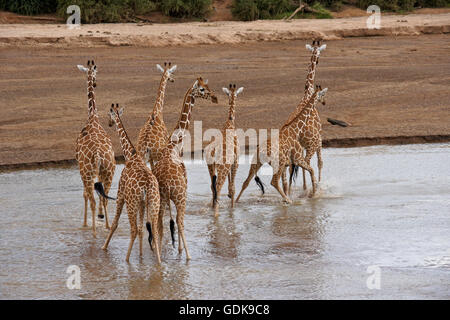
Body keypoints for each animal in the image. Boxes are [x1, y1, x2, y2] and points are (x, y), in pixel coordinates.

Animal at [99, 104, 163, 264]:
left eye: (109, 114)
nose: (109, 123)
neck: (130, 156)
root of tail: (147, 186)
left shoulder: (120, 194)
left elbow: (115, 224)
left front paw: (104, 247)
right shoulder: (142, 203)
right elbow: (142, 229)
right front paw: (140, 255)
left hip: (131, 203)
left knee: (133, 229)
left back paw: (127, 259)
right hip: (154, 202)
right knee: (154, 229)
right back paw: (159, 262)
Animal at [153, 77, 218, 260]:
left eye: (208, 86)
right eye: (202, 89)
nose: (215, 97)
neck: (174, 145)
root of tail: (168, 184)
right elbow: (177, 222)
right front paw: (181, 250)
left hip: (161, 199)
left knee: (160, 225)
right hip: (181, 197)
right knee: (180, 222)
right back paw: (187, 256)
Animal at [205, 82, 243, 214]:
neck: (230, 123)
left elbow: (230, 187)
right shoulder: (236, 161)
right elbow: (233, 188)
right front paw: (232, 209)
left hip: (210, 166)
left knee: (213, 187)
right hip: (222, 167)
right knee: (218, 187)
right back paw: (216, 213)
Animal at [236, 41, 324, 202]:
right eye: (319, 54)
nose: (318, 61)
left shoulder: (294, 156)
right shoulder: (315, 143)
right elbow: (317, 165)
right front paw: (314, 190)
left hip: (259, 162)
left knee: (248, 181)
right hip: (301, 152)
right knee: (280, 178)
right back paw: (295, 197)